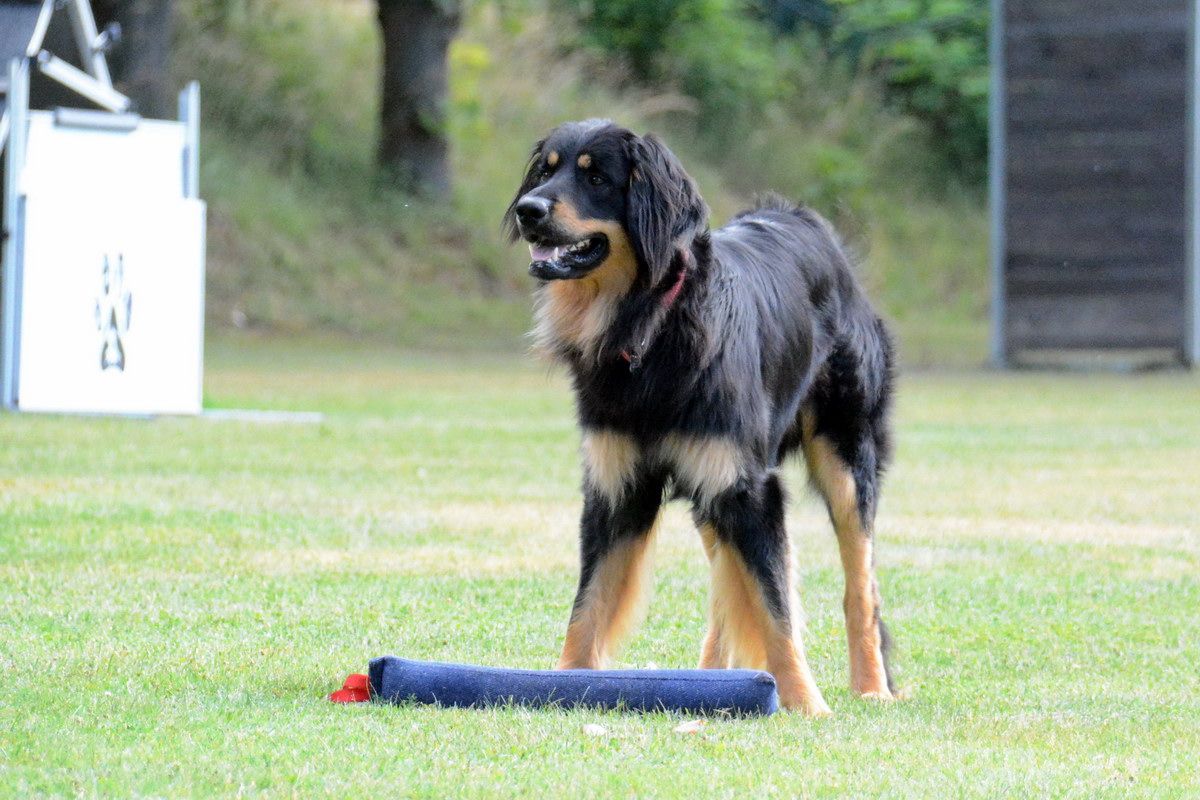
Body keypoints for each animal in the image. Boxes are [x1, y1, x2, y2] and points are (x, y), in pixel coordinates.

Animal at [501, 117, 897, 714]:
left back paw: (872, 686)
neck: (651, 328)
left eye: (596, 178)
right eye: (545, 172)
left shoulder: (746, 486)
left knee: (860, 586)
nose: (528, 209)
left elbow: (776, 608)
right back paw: (714, 675)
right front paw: (565, 680)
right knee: (728, 587)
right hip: (710, 492)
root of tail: (802, 219)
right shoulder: (618, 487)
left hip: (844, 459)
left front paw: (804, 703)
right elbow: (587, 607)